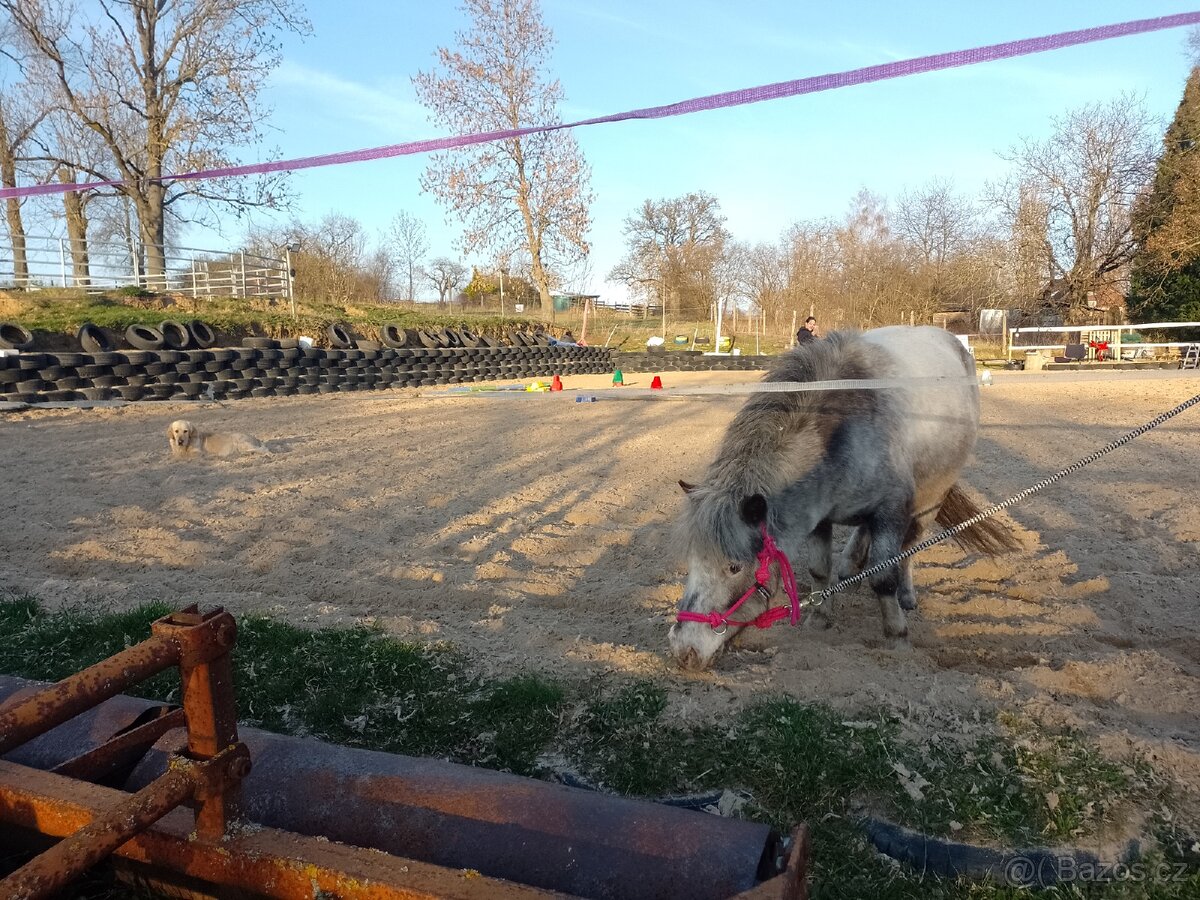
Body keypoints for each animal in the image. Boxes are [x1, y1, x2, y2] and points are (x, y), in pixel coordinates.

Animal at [668, 326, 1017, 670]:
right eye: (693, 560)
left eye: (734, 568)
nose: (684, 650)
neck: (842, 431)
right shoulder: (818, 515)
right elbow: (820, 570)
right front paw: (820, 617)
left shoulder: (891, 512)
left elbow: (884, 577)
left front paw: (897, 636)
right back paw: (851, 567)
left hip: (931, 497)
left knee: (910, 546)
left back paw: (905, 594)